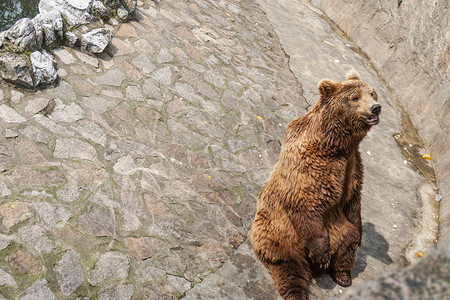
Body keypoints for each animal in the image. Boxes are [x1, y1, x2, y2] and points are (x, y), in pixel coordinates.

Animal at [251, 71, 382, 300]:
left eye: (372, 93)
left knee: (347, 247)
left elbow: (353, 202)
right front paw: (321, 255)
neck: (339, 145)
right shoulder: (312, 167)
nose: (376, 107)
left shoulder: (353, 167)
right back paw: (301, 286)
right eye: (355, 97)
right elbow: (307, 203)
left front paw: (359, 238)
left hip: (340, 229)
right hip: (278, 233)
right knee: (289, 266)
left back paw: (343, 275)